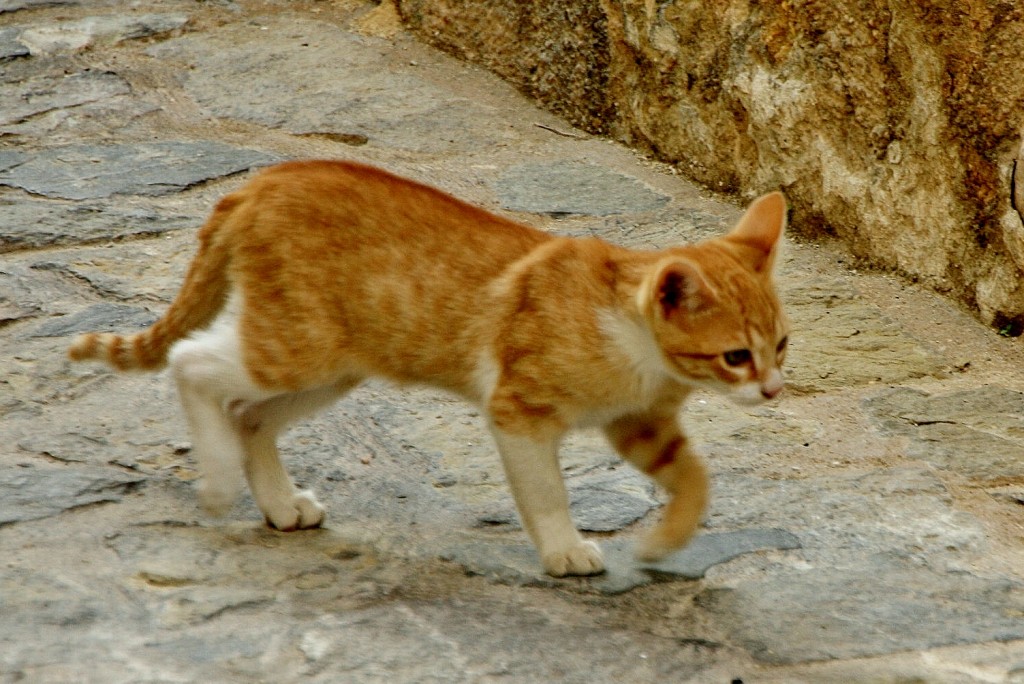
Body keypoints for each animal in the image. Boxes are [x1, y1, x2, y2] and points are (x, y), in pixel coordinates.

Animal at [70, 160, 790, 577]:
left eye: (781, 345)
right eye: (735, 356)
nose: (774, 391)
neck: (640, 354)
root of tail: (265, 178)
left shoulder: (640, 425)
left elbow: (694, 479)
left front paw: (665, 542)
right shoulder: (518, 411)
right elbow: (547, 492)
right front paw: (564, 549)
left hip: (332, 367)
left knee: (248, 415)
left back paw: (278, 505)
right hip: (295, 348)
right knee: (191, 362)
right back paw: (219, 485)